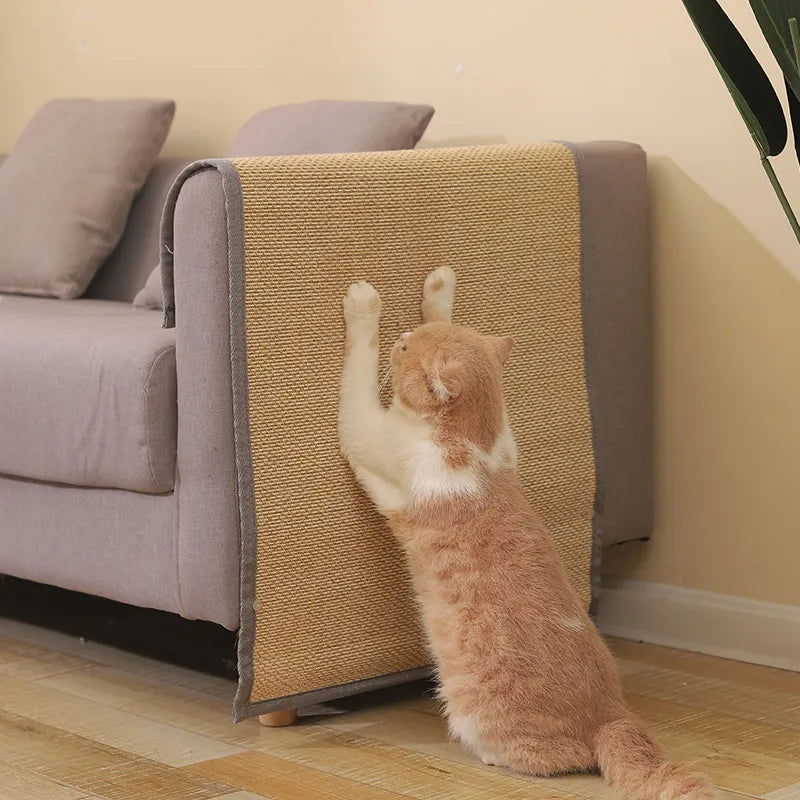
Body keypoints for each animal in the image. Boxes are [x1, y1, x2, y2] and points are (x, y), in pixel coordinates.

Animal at [338, 270, 712, 800]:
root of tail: (613, 714)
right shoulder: (506, 438)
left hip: (476, 712)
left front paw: (365, 307)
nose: (402, 335)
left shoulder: (365, 433)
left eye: (407, 349)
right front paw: (439, 290)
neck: (475, 444)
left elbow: (359, 369)